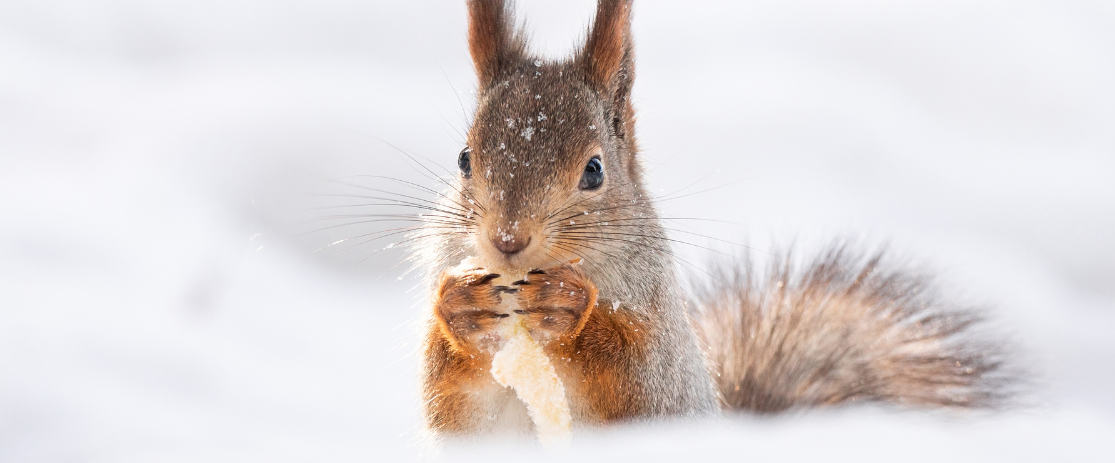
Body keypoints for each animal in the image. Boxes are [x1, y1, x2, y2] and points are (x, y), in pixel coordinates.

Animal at [416, 0, 1006, 439]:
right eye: (464, 158)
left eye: (594, 170)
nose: (507, 239)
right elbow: (453, 404)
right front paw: (460, 308)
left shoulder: (661, 365)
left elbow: (635, 384)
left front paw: (571, 310)